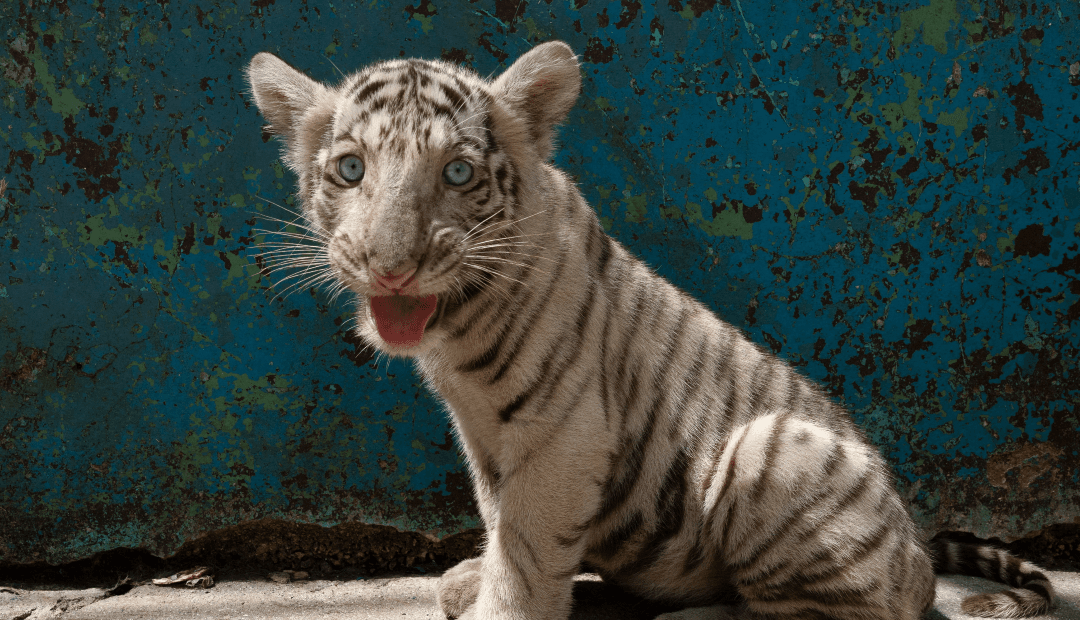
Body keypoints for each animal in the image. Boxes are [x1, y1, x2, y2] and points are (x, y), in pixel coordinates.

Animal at [244, 41, 1055, 620]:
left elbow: (528, 546)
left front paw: (500, 602)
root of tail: (917, 555)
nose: (392, 267)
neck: (459, 324)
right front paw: (480, 578)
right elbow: (500, 518)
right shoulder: (483, 436)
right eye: (351, 170)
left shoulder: (562, 433)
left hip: (774, 447)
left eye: (458, 174)